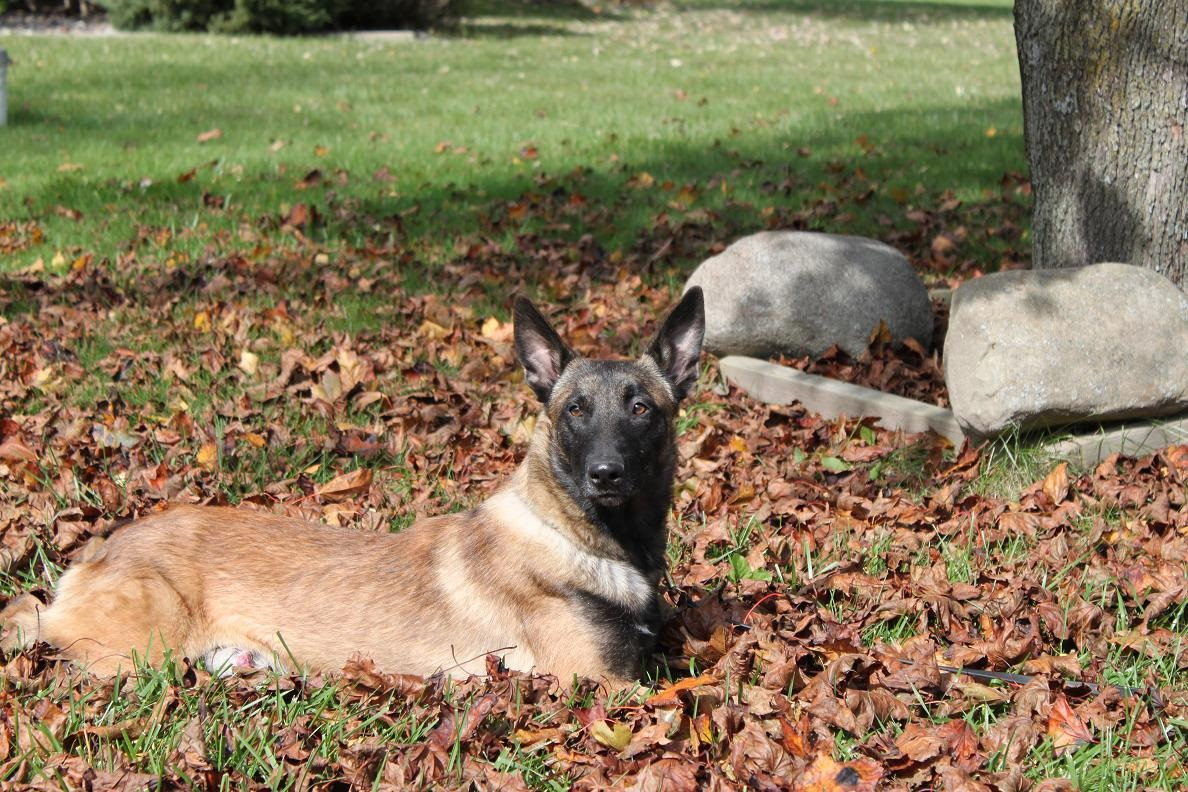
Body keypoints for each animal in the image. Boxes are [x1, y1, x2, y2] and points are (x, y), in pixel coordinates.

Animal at [2, 288, 703, 683]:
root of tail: (97, 552)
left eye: (641, 408)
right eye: (575, 410)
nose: (605, 474)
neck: (576, 536)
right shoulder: (605, 686)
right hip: (143, 653)